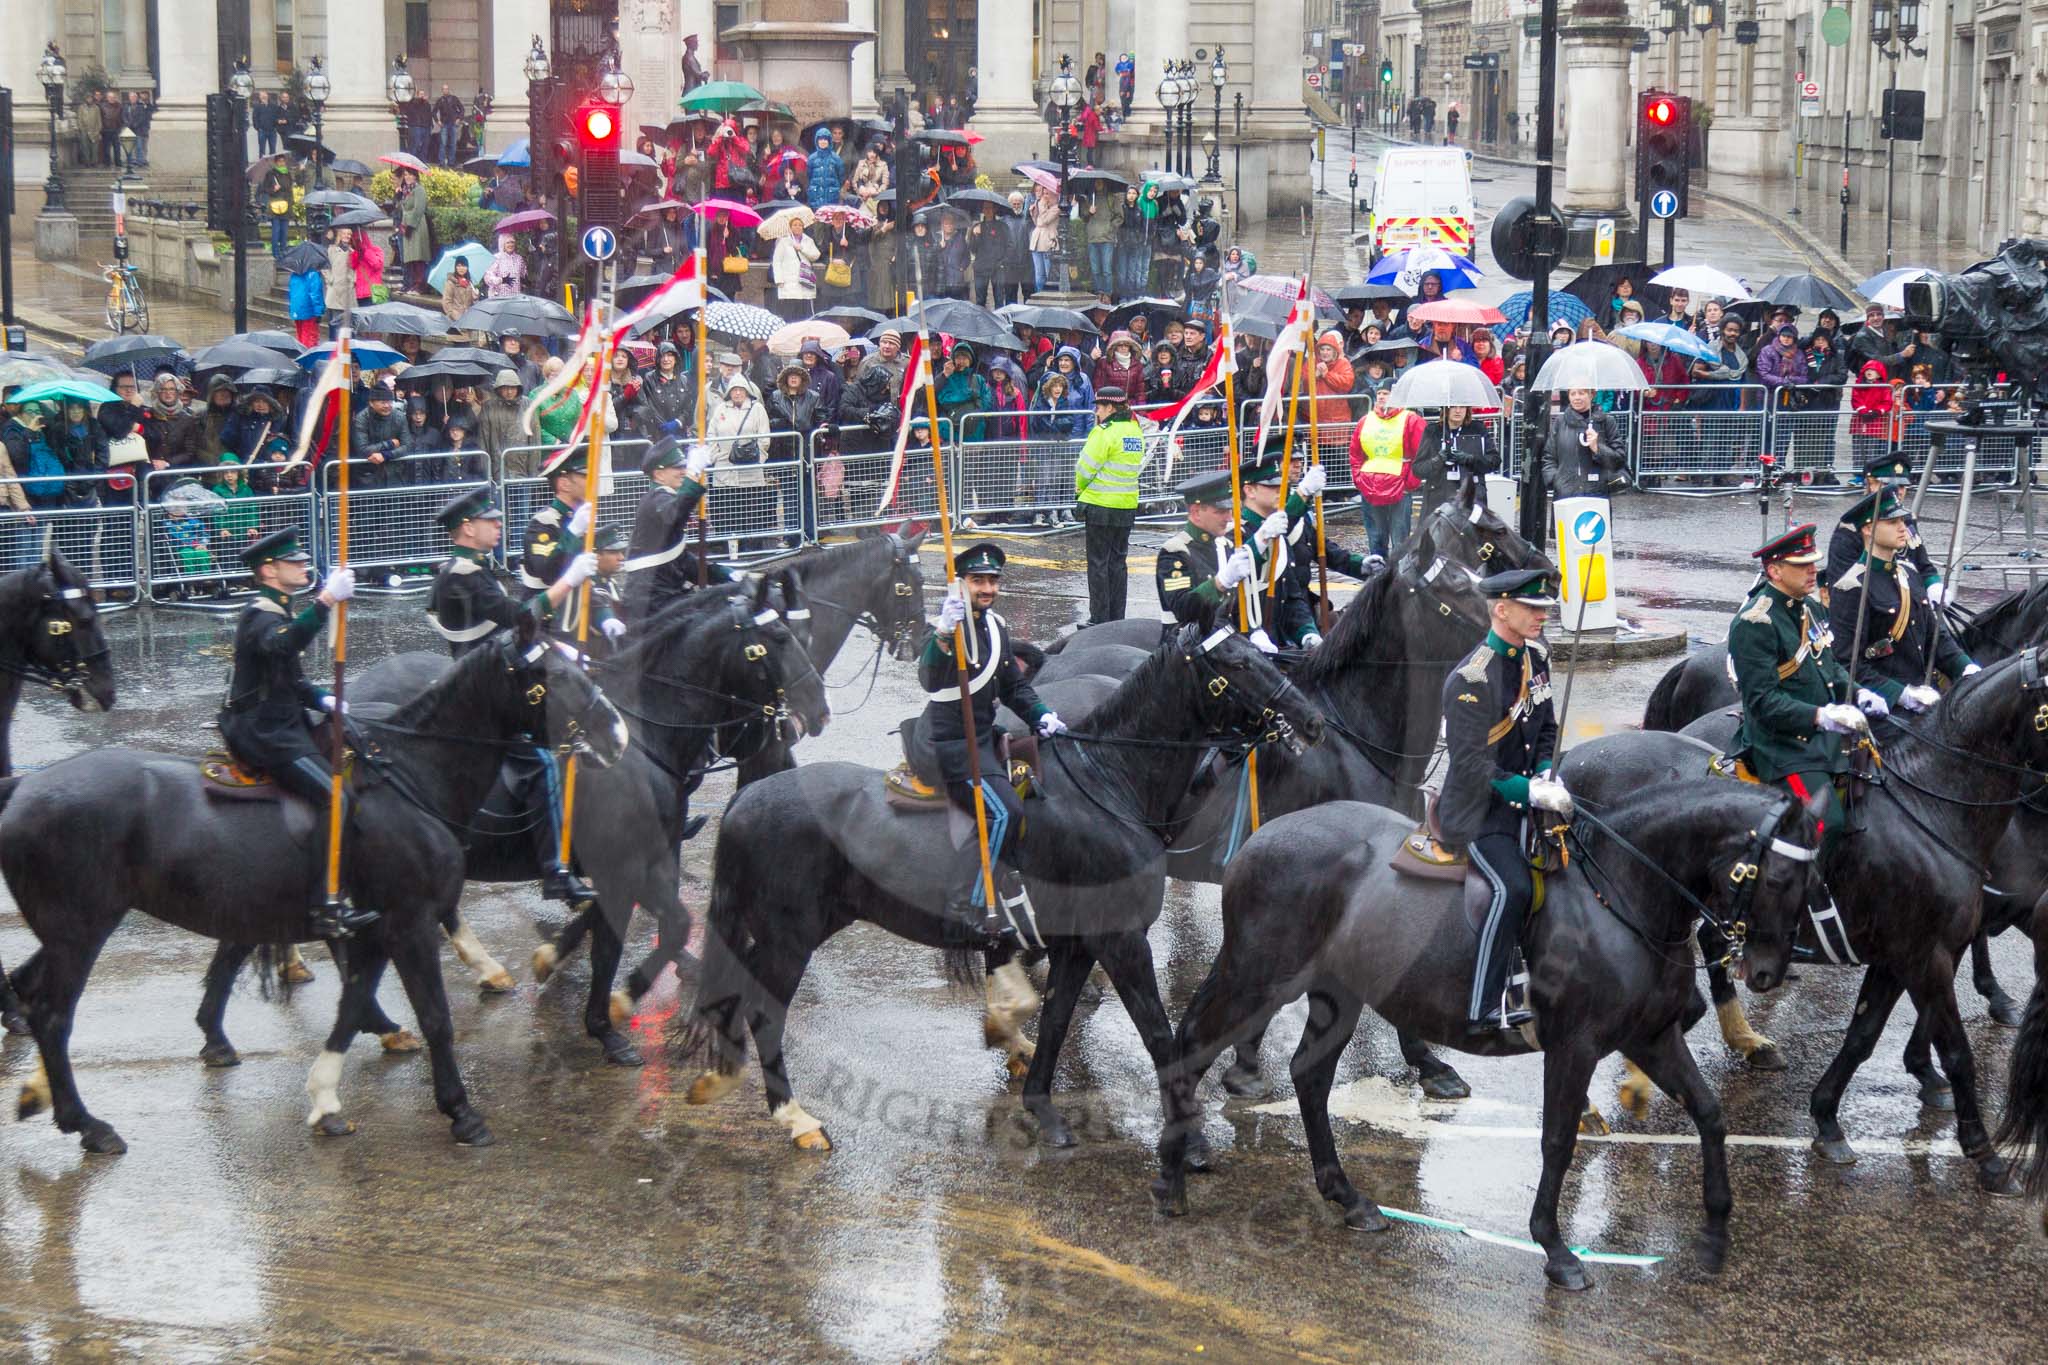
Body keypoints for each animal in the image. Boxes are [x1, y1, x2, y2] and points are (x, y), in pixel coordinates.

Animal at [6, 618, 622, 1154]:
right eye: (554, 675)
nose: (616, 733)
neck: (413, 778)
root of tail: (23, 788)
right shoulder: (411, 922)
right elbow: (434, 1016)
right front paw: (461, 1112)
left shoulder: (376, 926)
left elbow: (352, 1005)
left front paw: (326, 1098)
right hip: (82, 931)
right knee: (53, 1016)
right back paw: (88, 1124)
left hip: (70, 933)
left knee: (31, 993)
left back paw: (46, 1091)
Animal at [679, 626, 1327, 1154]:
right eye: (1237, 664)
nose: (1311, 719)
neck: (1108, 786)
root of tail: (746, 798)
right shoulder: (1121, 940)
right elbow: (1157, 1033)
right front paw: (1189, 1140)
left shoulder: (1079, 943)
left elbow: (1058, 1018)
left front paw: (1042, 1106)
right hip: (789, 937)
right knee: (763, 1014)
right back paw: (797, 1119)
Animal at [1163, 777, 1818, 1293]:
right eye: (1779, 878)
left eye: (1812, 878)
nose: (1767, 971)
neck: (1620, 894)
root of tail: (1258, 837)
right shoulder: (1575, 1046)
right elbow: (1557, 1141)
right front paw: (1555, 1249)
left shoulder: (1651, 1037)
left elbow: (1709, 1113)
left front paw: (1714, 1233)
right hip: (1256, 979)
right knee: (1189, 1045)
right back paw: (1174, 1175)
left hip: (1336, 995)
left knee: (1309, 1076)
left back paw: (1347, 1197)